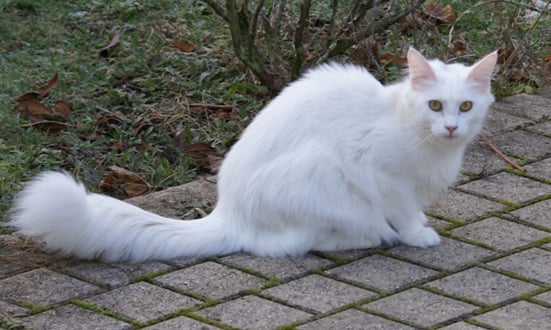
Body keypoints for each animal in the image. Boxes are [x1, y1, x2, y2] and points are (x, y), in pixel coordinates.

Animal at [8, 47, 498, 262]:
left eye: (465, 107)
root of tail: (227, 213)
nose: (451, 127)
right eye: (434, 105)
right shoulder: (385, 179)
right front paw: (417, 235)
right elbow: (405, 212)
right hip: (321, 173)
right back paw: (370, 237)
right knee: (292, 244)